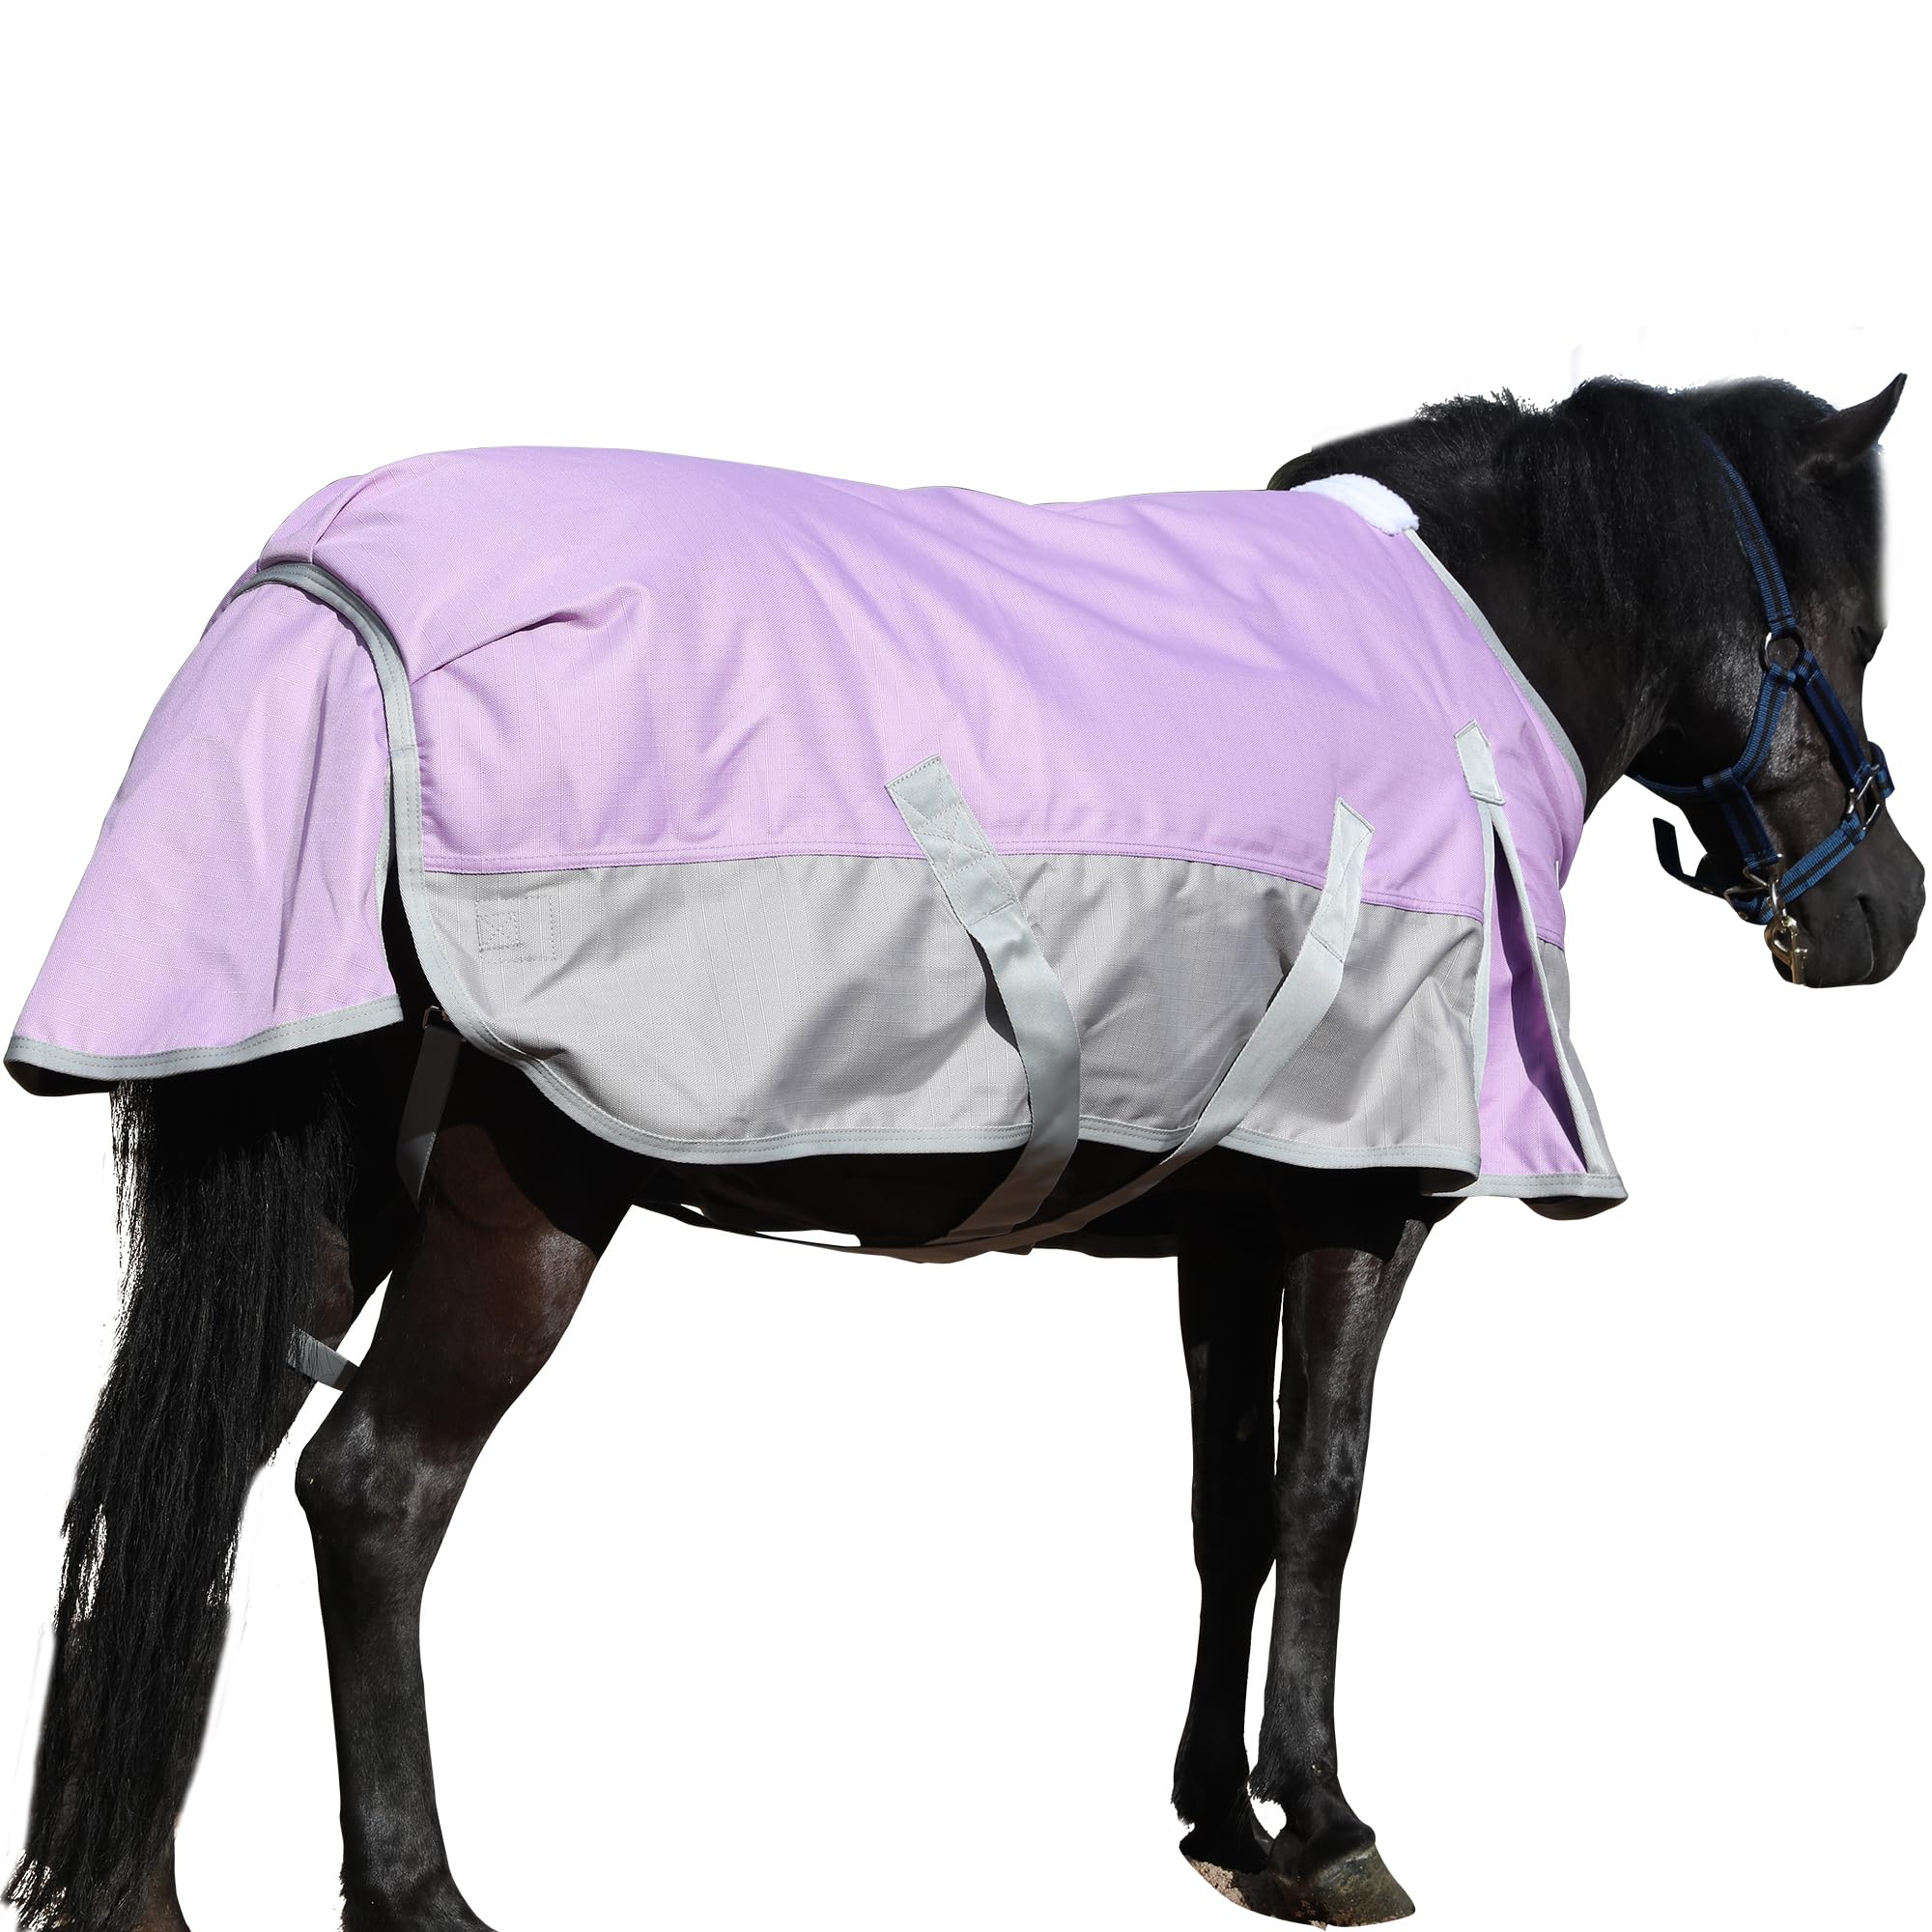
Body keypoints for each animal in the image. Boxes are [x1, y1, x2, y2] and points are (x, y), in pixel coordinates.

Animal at [4, 373, 1919, 1932]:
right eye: (1835, 628)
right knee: (373, 1491)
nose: (1882, 916)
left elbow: (1229, 1506)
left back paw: (143, 1893)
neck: (1467, 640)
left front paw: (1219, 1819)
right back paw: (419, 1896)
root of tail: (323, 614)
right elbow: (1327, 1494)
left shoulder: (1227, 1221)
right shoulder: (1358, 1207)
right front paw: (1326, 1826)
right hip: (516, 1212)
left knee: (196, 1475)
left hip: (323, 1190)